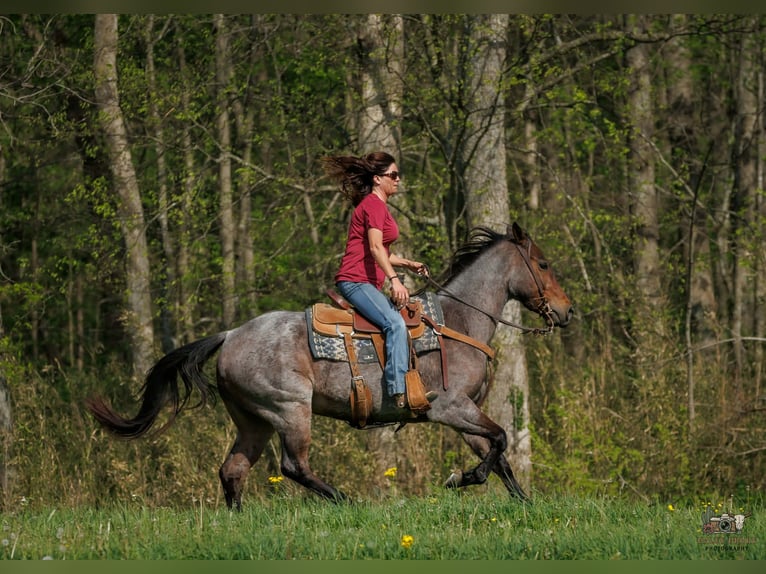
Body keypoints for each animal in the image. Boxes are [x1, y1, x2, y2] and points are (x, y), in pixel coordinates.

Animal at [86, 222, 573, 510]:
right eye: (543, 263)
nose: (567, 312)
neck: (457, 323)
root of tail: (229, 336)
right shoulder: (450, 408)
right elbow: (501, 439)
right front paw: (462, 479)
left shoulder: (464, 413)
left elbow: (499, 453)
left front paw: (523, 503)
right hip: (290, 411)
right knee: (292, 466)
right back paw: (345, 499)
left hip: (253, 421)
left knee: (233, 470)